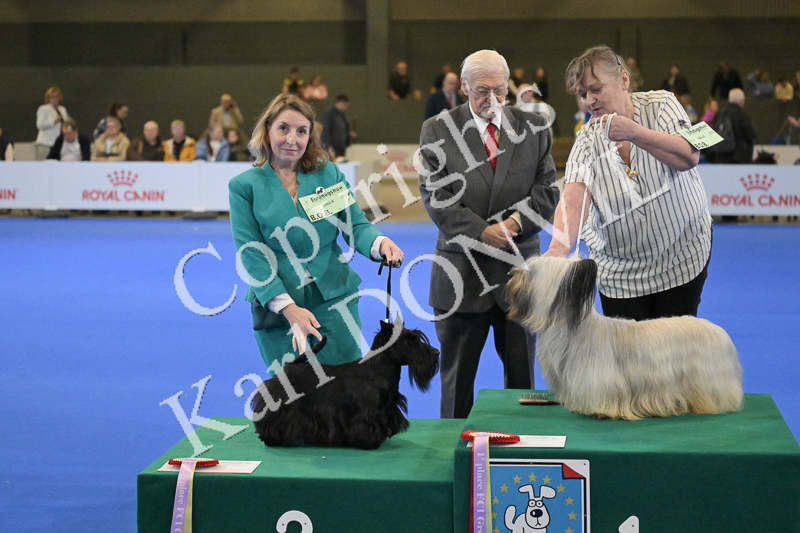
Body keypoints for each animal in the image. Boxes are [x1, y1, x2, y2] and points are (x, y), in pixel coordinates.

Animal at [251, 319, 440, 449]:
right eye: (410, 340)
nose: (437, 352)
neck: (377, 369)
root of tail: (289, 366)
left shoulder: (387, 408)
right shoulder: (368, 413)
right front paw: (370, 442)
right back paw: (272, 439)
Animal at [506, 256, 743, 420]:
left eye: (531, 272)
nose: (511, 273)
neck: (574, 327)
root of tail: (719, 332)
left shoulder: (601, 377)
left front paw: (600, 412)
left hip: (708, 376)